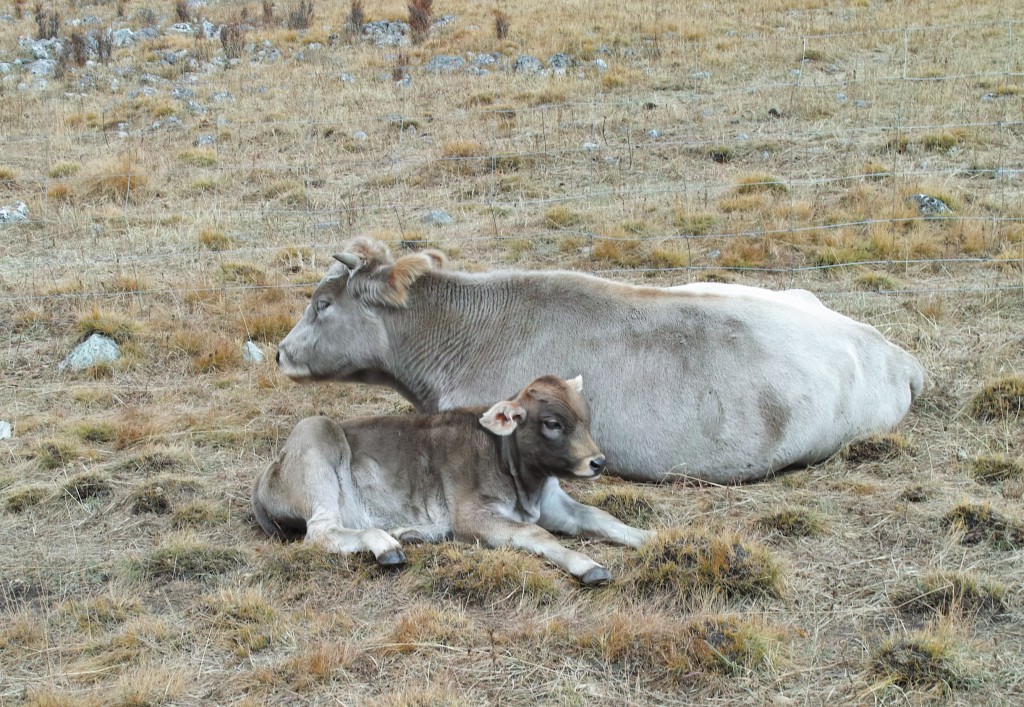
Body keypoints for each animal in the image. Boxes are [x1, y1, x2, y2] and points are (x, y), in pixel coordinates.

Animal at [252, 370, 651, 581]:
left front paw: (651, 536)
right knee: (322, 532)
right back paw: (385, 544)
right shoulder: (472, 516)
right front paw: (588, 565)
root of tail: (272, 465)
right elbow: (536, 534)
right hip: (317, 444)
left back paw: (407, 533)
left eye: (586, 418)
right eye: (552, 424)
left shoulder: (555, 504)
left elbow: (599, 516)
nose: (598, 462)